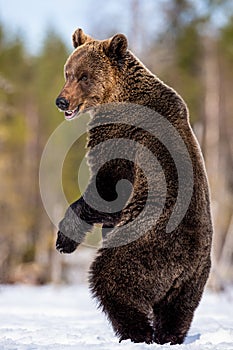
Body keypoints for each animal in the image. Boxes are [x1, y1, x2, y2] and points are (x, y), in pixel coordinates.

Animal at [55, 28, 213, 344]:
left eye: (84, 76)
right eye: (68, 72)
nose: (62, 101)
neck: (115, 97)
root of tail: (181, 269)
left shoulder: (126, 139)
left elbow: (107, 189)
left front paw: (64, 239)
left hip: (145, 249)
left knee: (111, 280)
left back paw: (136, 331)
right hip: (193, 283)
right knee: (178, 311)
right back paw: (167, 335)